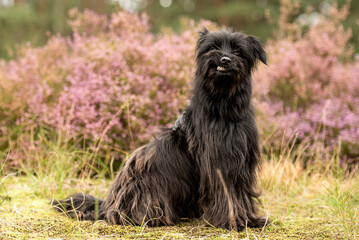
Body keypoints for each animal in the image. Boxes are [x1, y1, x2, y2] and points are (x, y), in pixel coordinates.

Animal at [53, 28, 268, 231]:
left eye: (237, 51)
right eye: (213, 47)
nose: (225, 59)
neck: (224, 105)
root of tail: (107, 204)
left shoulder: (242, 161)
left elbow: (241, 193)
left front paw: (250, 220)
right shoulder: (220, 162)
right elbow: (227, 193)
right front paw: (232, 221)